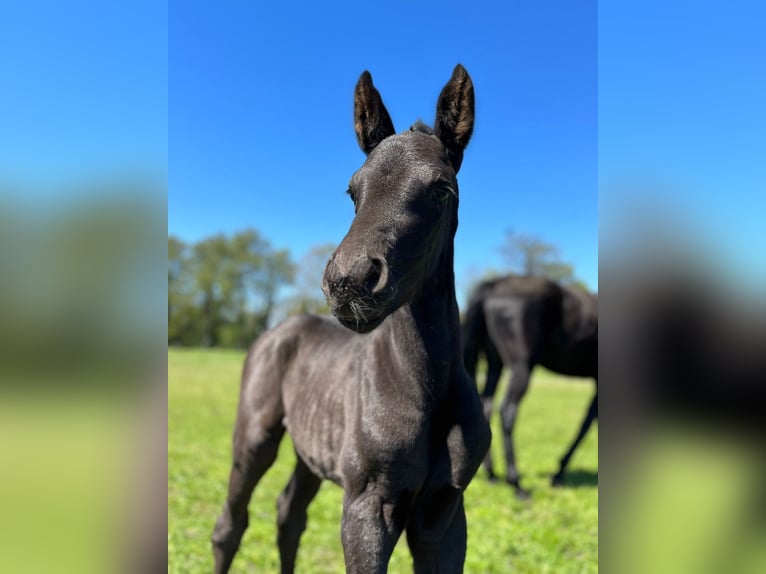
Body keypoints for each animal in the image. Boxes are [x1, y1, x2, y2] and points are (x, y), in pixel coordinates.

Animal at [212, 65, 492, 572]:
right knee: (231, 523)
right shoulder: (368, 505)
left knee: (289, 513)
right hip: (254, 437)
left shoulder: (445, 512)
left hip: (309, 453)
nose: (349, 281)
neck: (426, 387)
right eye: (352, 190)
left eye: (441, 189)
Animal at [462, 276, 600, 500]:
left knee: (486, 407)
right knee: (507, 411)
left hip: (495, 363)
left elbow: (586, 422)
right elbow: (587, 425)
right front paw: (558, 474)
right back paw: (516, 484)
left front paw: (558, 473)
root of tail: (496, 284)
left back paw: (492, 475)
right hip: (521, 366)